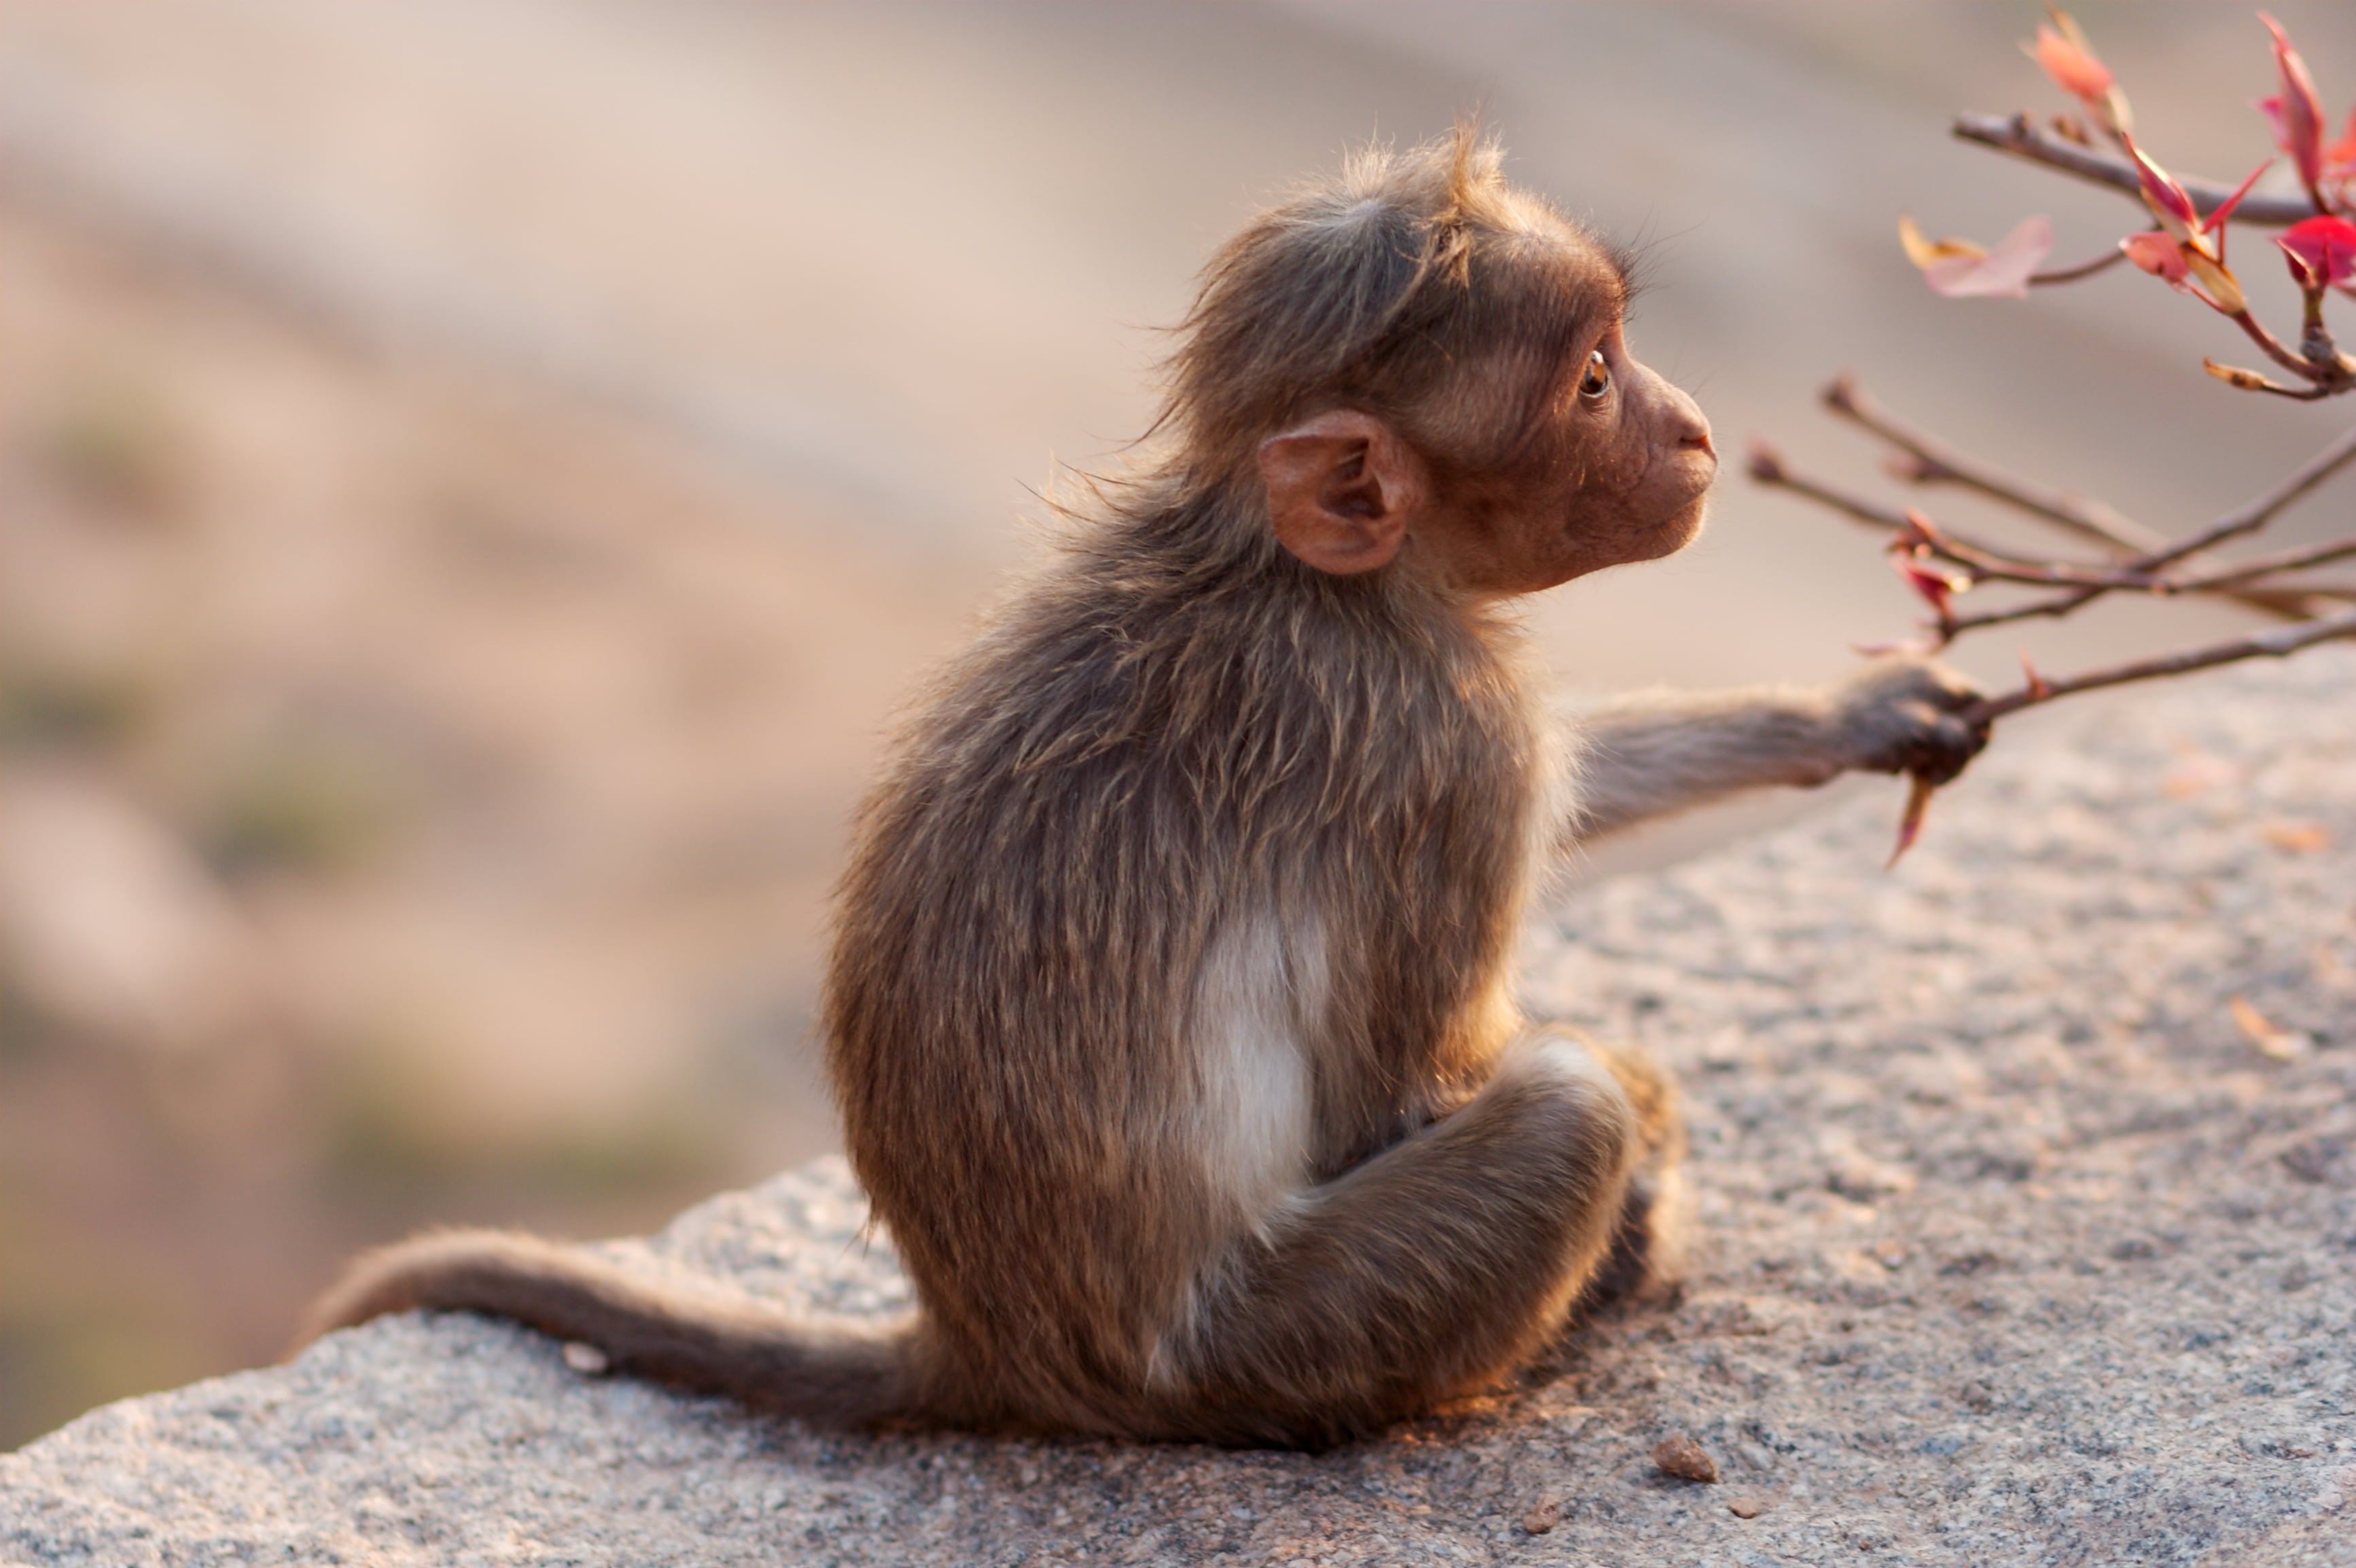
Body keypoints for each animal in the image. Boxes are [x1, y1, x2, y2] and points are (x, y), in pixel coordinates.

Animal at [304, 128, 1979, 1450]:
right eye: (1587, 379)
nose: (1688, 427)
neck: (1312, 577)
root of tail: (986, 1343)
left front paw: (1843, 711)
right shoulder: (1445, 742)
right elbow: (1408, 1092)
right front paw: (1637, 1162)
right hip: (1268, 1346)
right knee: (1562, 1112)